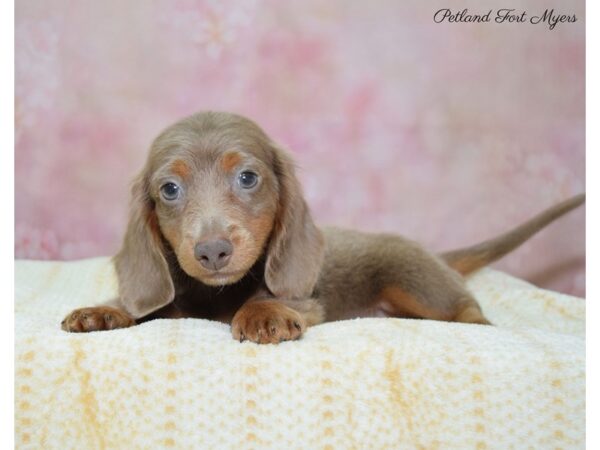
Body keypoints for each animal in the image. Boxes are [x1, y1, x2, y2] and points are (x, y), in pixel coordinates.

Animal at [62, 110, 584, 342]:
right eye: (169, 189)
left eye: (248, 177)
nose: (212, 251)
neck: (218, 293)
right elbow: (150, 306)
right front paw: (104, 310)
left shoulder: (306, 300)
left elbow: (269, 297)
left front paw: (263, 314)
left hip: (415, 280)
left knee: (466, 308)